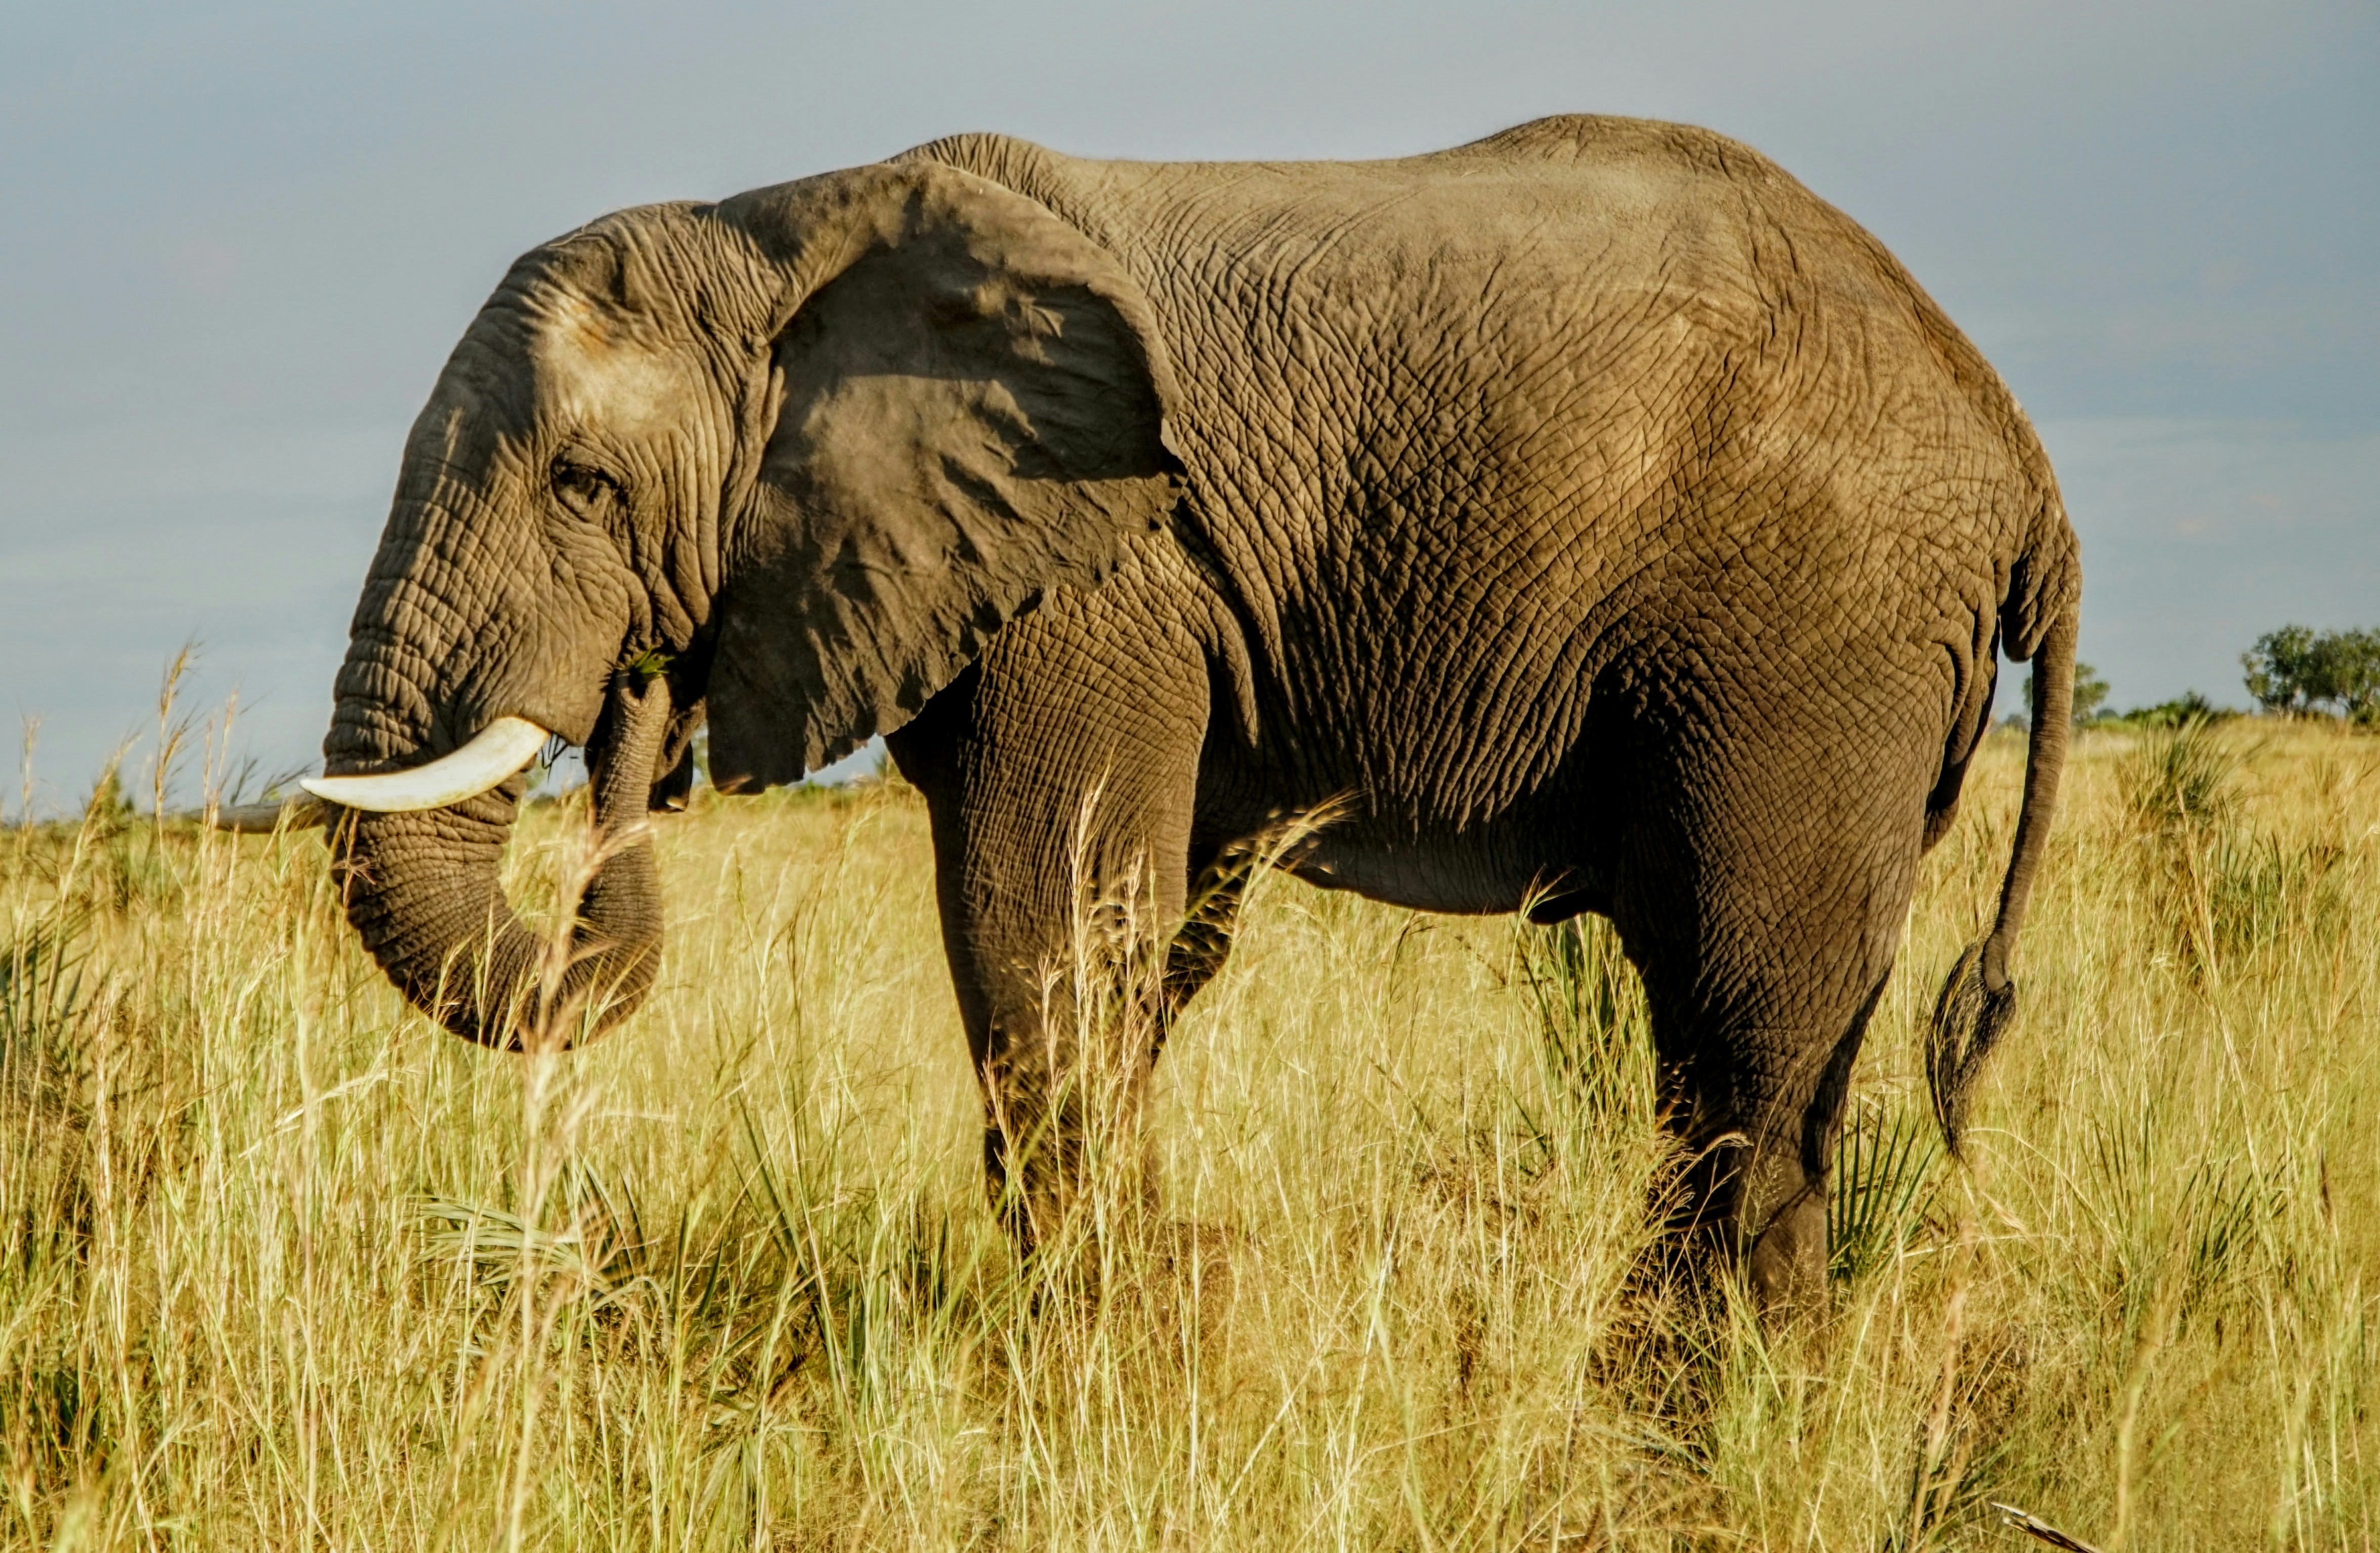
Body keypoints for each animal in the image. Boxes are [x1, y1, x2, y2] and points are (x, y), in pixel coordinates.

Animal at [299, 114, 2079, 1317]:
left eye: (580, 485)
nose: (634, 718)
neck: (773, 228)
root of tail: (2017, 454)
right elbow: (1146, 954)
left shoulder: (1102, 572)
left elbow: (1045, 923)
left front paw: (1090, 1346)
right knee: (1784, 1043)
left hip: (1807, 639)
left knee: (1740, 1029)